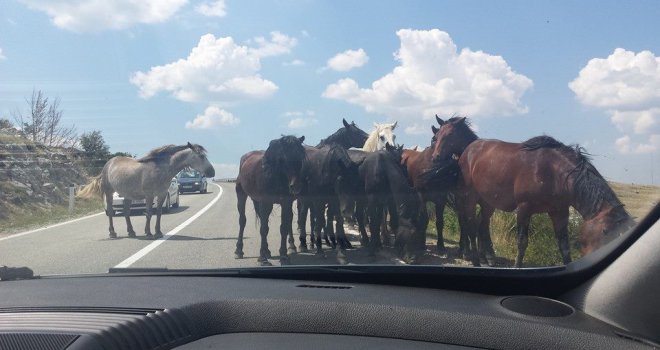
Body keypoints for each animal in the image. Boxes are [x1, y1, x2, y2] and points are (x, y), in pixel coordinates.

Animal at [78, 142, 215, 238]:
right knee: (111, 213)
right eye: (201, 156)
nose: (212, 172)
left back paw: (131, 232)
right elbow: (149, 213)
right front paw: (148, 233)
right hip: (109, 192)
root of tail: (108, 164)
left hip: (127, 195)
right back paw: (112, 233)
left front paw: (158, 232)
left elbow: (158, 213)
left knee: (126, 212)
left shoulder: (162, 194)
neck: (160, 169)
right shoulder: (149, 195)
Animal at [235, 135, 306, 266]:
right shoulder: (265, 202)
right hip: (241, 195)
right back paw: (239, 250)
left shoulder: (286, 203)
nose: (297, 186)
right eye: (284, 158)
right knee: (242, 220)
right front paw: (262, 258)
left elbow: (283, 227)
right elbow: (263, 229)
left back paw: (267, 251)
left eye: (301, 157)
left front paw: (284, 256)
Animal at [430, 116, 636, 266]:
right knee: (470, 225)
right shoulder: (524, 209)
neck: (554, 172)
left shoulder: (560, 212)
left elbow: (564, 246)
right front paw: (517, 266)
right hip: (469, 198)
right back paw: (474, 259)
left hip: (487, 202)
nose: (436, 157)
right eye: (436, 136)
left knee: (480, 224)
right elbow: (522, 243)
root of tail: (468, 150)